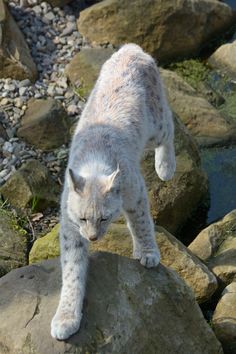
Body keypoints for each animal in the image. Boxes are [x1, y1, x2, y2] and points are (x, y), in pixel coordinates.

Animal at [50, 44, 176, 340]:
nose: (94, 239)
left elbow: (142, 223)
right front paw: (66, 316)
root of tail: (131, 48)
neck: (94, 163)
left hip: (155, 125)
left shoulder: (136, 193)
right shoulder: (69, 225)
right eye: (83, 219)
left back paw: (165, 166)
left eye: (105, 218)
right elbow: (72, 269)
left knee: (170, 128)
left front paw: (148, 252)